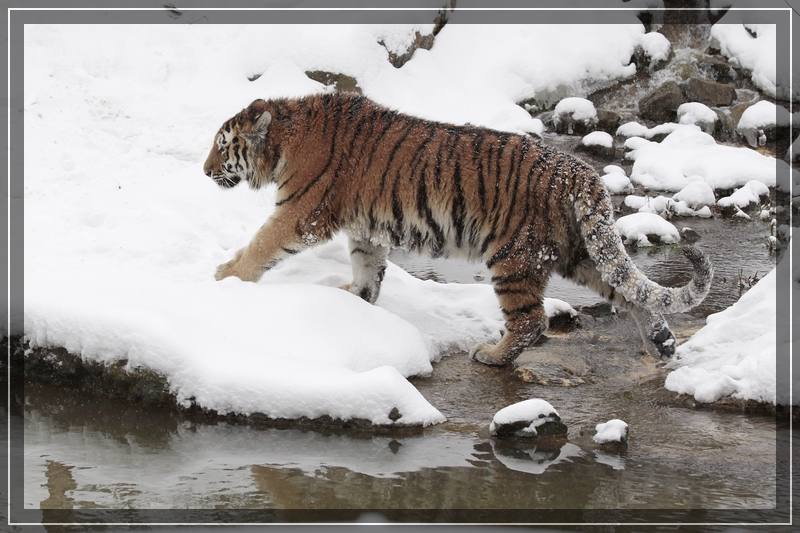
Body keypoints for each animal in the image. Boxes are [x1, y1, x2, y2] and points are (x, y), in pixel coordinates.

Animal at [202, 92, 712, 366]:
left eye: (222, 146)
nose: (204, 171)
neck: (283, 142)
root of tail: (578, 170)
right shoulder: (365, 229)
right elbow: (367, 270)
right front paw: (355, 302)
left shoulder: (301, 212)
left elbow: (262, 243)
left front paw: (226, 278)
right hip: (578, 252)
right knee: (631, 293)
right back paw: (662, 343)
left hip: (514, 256)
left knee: (531, 320)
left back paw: (493, 354)